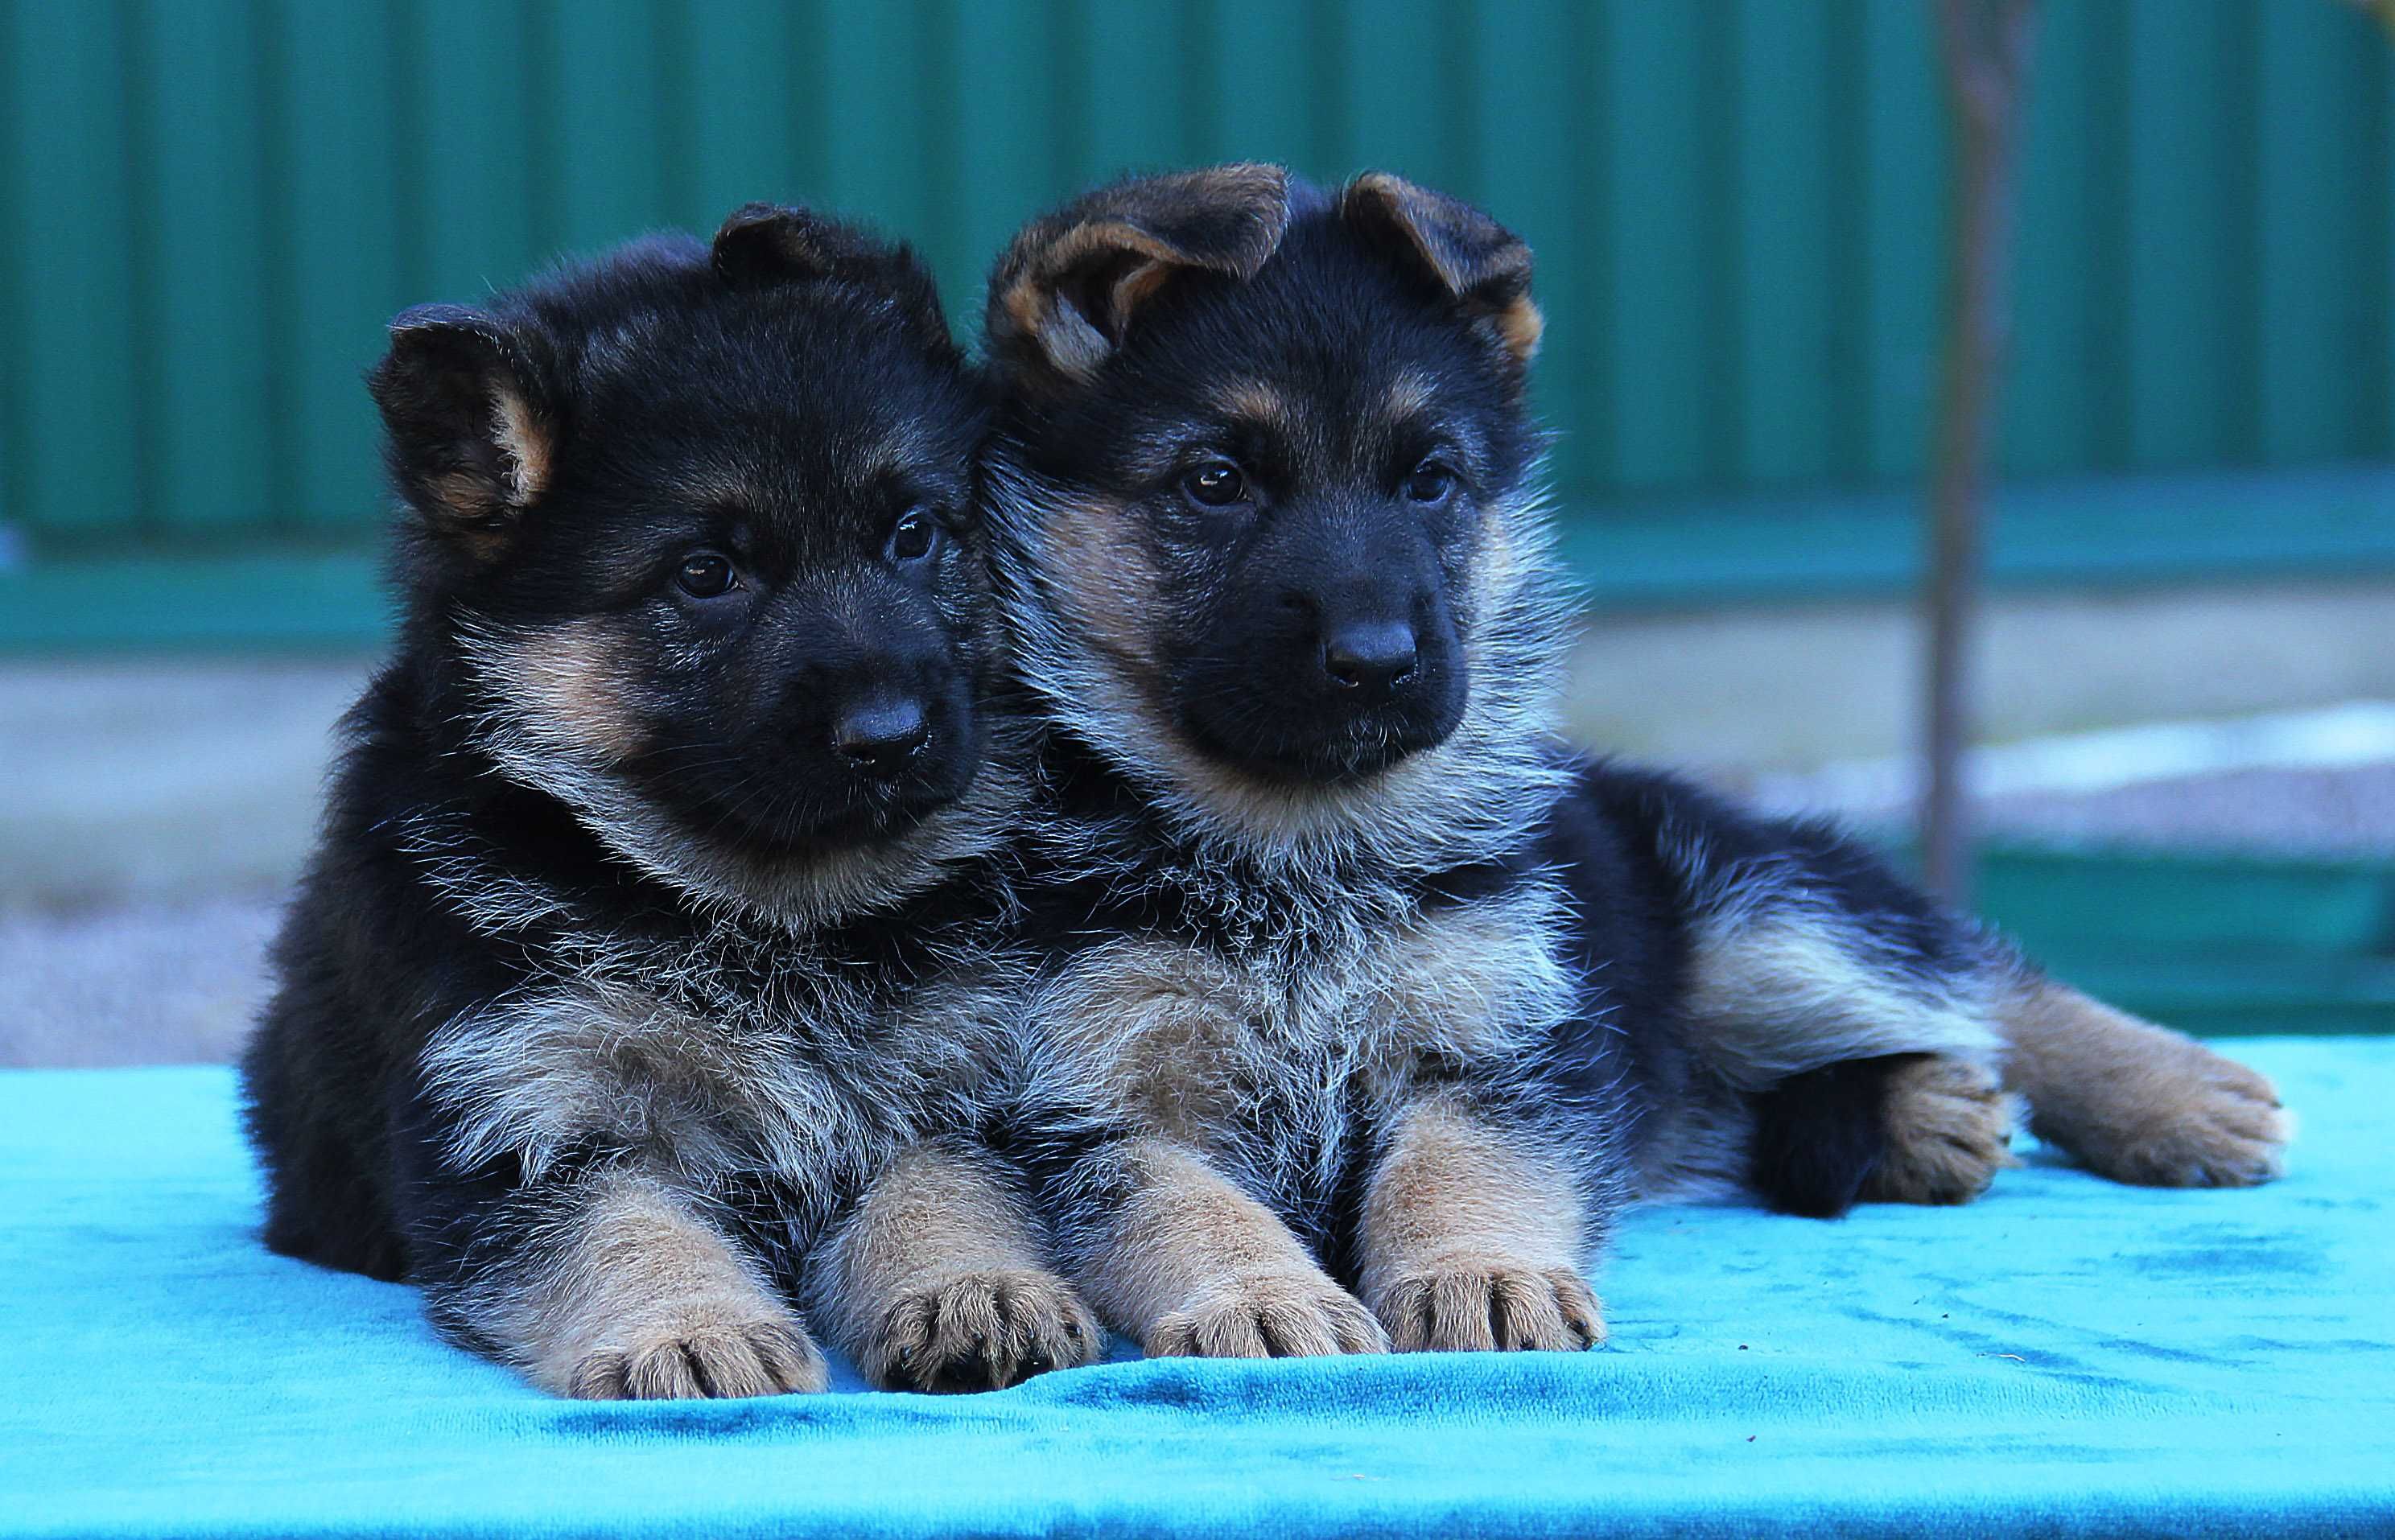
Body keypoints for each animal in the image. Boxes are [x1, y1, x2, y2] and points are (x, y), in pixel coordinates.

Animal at [238, 210, 1097, 1408]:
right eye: (705, 575)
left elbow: (946, 1189)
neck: (770, 914)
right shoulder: (526, 1106)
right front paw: (692, 1328)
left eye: (914, 533)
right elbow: (621, 1225)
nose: (890, 736)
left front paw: (974, 1289)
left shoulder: (952, 1083)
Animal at [972, 163, 2280, 1360]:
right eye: (1215, 481)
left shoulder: (1506, 1043)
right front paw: (1257, 1296)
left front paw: (1481, 1273)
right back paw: (1923, 1115)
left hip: (1759, 918)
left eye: (1430, 480)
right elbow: (1182, 1204)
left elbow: (1459, 1166)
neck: (1295, 844)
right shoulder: (1087, 1107)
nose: (1378, 659)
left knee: (1981, 981)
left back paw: (2179, 1095)